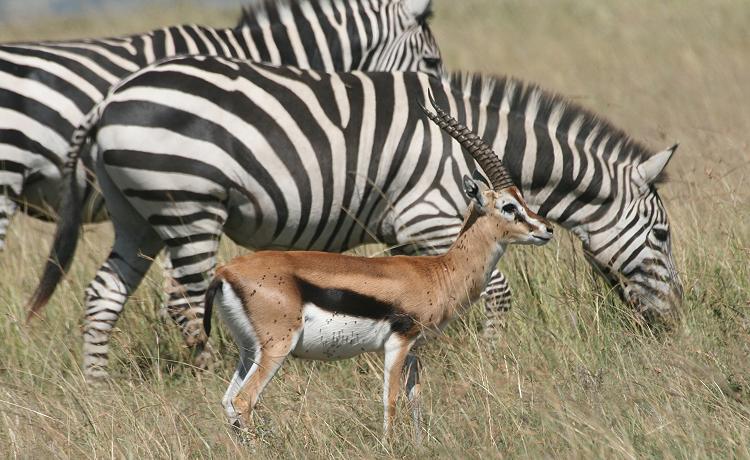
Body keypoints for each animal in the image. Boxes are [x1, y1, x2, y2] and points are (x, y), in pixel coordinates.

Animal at [29, 56, 684, 380]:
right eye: (662, 233)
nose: (674, 322)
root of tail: (109, 100)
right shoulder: (430, 216)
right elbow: (495, 290)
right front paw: (494, 359)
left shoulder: (404, 236)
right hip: (188, 203)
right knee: (185, 302)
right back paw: (206, 379)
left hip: (134, 214)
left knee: (103, 296)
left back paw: (96, 390)